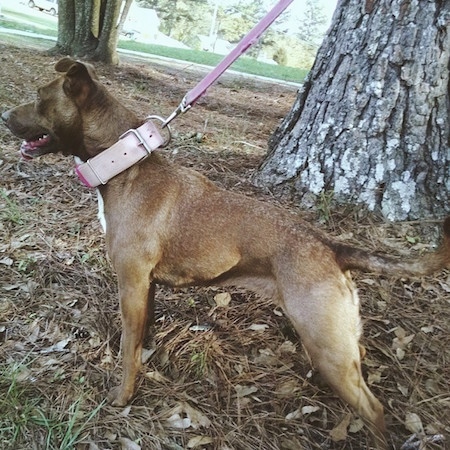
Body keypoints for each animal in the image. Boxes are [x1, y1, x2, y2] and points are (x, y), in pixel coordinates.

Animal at [3, 57, 450, 450]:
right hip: (336, 343)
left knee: (374, 410)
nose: (5, 115)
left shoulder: (129, 285)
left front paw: (123, 396)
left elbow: (128, 351)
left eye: (40, 97)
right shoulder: (146, 287)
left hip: (327, 344)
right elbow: (142, 337)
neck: (124, 167)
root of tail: (331, 247)